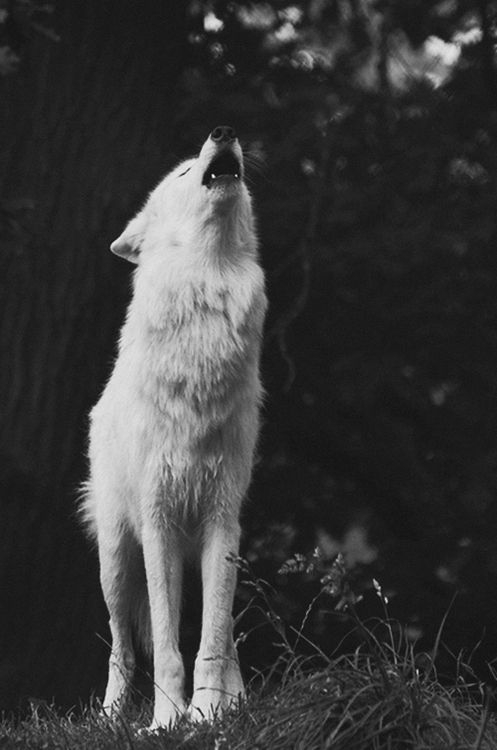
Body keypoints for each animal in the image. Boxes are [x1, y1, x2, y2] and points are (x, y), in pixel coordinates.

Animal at [82, 126, 267, 728]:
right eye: (184, 173)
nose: (224, 131)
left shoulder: (222, 519)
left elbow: (209, 640)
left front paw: (209, 713)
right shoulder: (158, 521)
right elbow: (164, 645)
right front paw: (165, 720)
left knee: (225, 633)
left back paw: (239, 700)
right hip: (117, 561)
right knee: (120, 645)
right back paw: (111, 716)